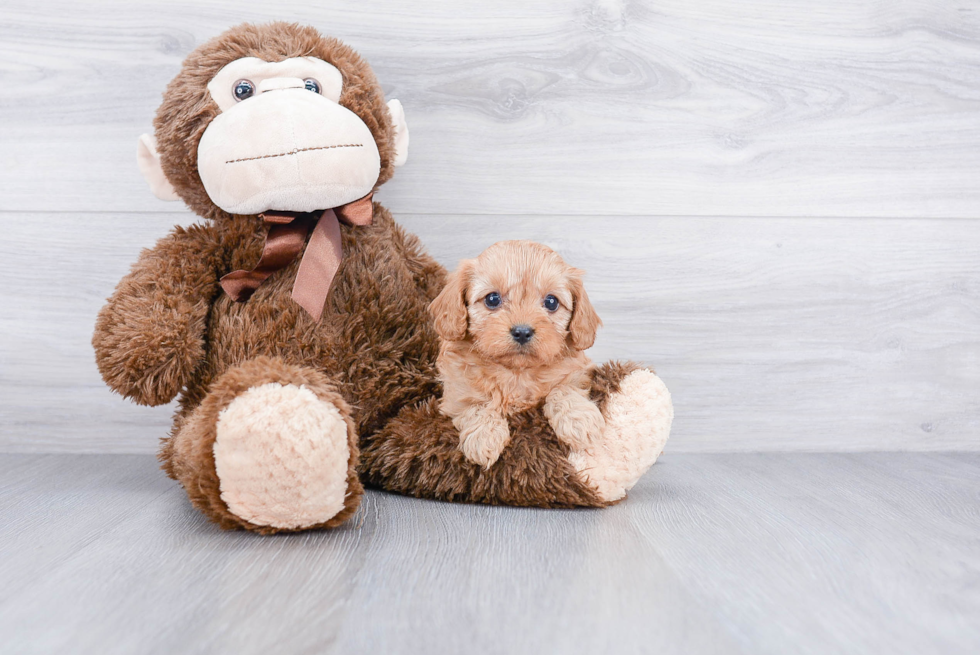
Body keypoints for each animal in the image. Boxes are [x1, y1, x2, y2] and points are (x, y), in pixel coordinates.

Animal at [430, 240, 604, 466]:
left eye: (551, 302)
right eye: (492, 299)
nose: (522, 332)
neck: (516, 372)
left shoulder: (577, 372)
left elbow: (564, 389)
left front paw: (579, 420)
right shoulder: (456, 393)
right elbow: (475, 404)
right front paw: (484, 436)